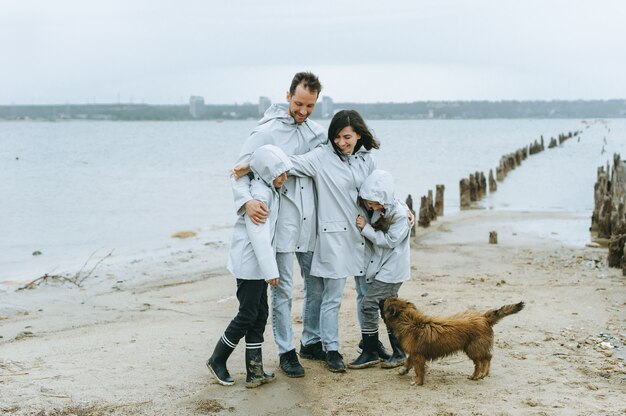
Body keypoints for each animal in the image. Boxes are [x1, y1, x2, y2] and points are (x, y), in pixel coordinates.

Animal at [380, 298, 520, 386]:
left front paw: (418, 382)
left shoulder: (418, 355)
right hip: (472, 349)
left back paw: (483, 373)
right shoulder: (414, 353)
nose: (380, 299)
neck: (411, 322)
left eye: (385, 302)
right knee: (479, 363)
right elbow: (408, 362)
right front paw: (403, 371)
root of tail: (483, 318)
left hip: (474, 348)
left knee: (486, 358)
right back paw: (475, 376)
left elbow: (419, 370)